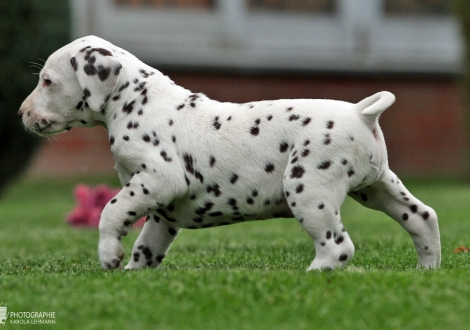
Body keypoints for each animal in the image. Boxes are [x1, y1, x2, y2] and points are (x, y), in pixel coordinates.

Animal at [18, 36, 440, 270]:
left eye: (47, 81)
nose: (21, 113)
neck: (137, 101)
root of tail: (360, 113)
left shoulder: (157, 179)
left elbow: (111, 211)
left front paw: (108, 255)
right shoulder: (161, 209)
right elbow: (147, 246)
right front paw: (135, 274)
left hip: (309, 191)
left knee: (338, 247)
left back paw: (314, 274)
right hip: (378, 188)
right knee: (422, 218)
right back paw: (428, 268)